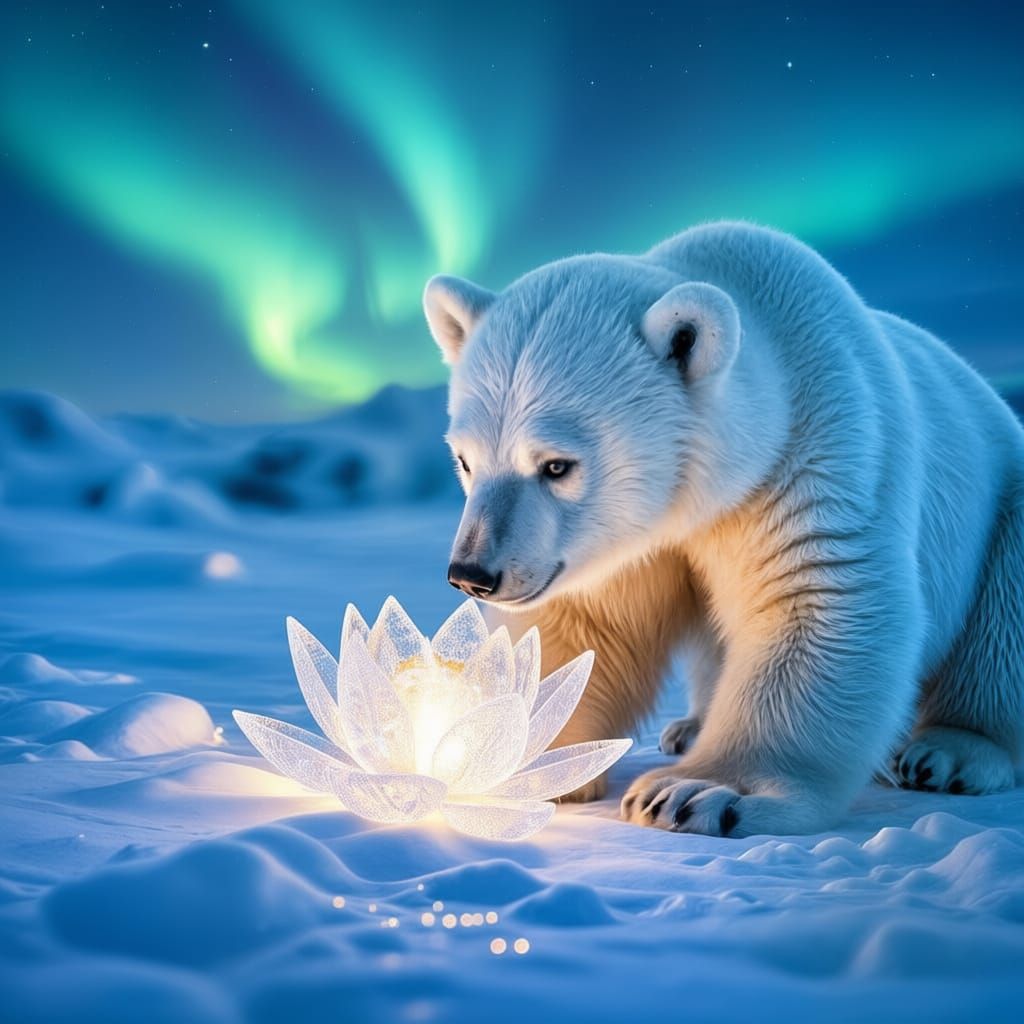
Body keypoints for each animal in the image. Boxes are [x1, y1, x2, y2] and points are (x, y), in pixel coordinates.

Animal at [422, 221, 1024, 837]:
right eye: (465, 460)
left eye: (557, 465)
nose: (471, 574)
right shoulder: (624, 543)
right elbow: (590, 626)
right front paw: (510, 762)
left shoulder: (820, 455)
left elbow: (817, 601)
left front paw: (696, 792)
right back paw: (688, 726)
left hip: (1005, 506)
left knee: (1001, 629)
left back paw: (948, 753)